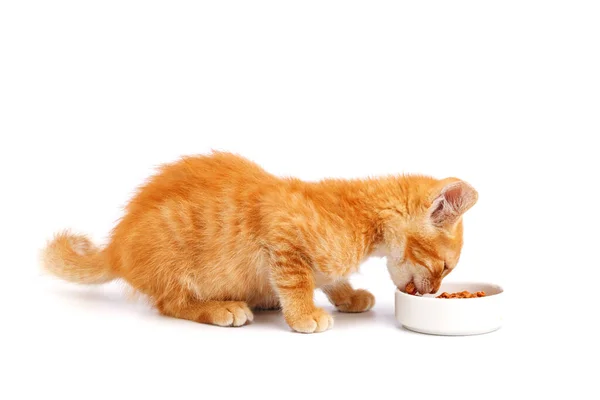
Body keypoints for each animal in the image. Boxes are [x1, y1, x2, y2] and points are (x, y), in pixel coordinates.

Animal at [42, 152, 478, 332]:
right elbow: (297, 281)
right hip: (173, 254)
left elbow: (331, 279)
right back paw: (220, 308)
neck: (360, 218)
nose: (434, 291)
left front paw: (349, 295)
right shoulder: (281, 237)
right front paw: (304, 315)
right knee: (171, 304)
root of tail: (116, 249)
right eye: (444, 267)